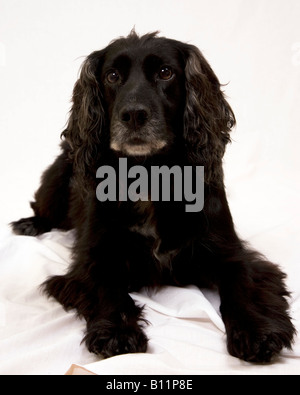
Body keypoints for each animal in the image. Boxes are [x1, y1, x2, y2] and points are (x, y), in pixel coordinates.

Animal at [11, 32, 296, 364]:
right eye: (112, 76)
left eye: (165, 72)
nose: (134, 115)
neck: (149, 176)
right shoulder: (94, 258)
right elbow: (109, 291)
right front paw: (116, 332)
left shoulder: (230, 252)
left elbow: (242, 285)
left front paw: (255, 331)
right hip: (55, 181)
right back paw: (29, 224)